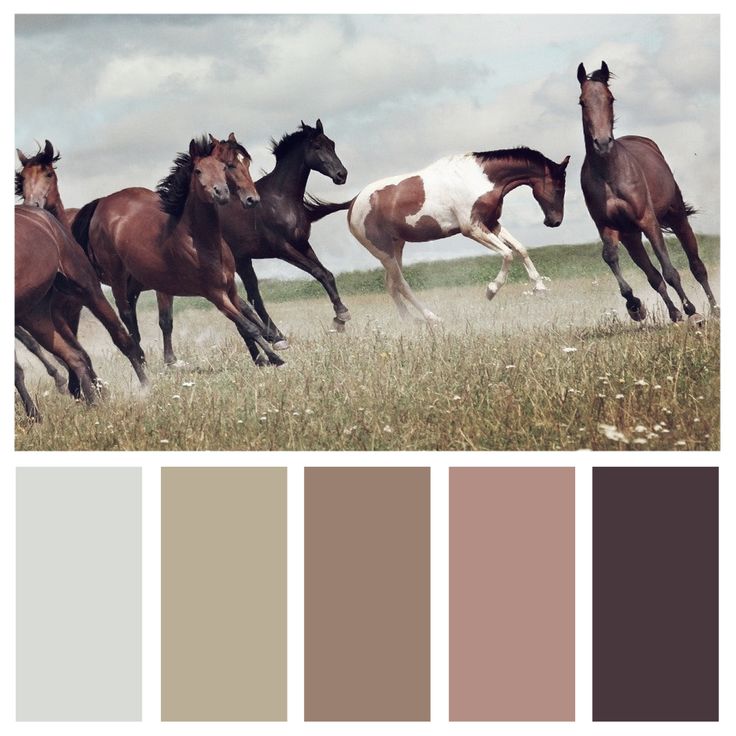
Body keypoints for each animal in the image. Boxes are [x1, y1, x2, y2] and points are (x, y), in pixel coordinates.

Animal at [72, 133, 284, 368]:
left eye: (225, 167)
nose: (251, 199)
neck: (202, 242)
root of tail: (102, 205)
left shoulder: (230, 290)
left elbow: (246, 315)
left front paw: (267, 350)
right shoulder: (214, 294)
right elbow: (246, 325)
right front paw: (272, 355)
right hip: (117, 278)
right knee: (126, 314)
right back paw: (141, 359)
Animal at [304, 147, 568, 322]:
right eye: (558, 187)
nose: (554, 222)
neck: (479, 179)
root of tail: (353, 202)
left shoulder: (491, 224)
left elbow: (520, 249)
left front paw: (540, 288)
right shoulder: (472, 229)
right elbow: (507, 254)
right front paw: (491, 291)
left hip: (396, 247)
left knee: (391, 285)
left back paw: (410, 322)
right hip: (384, 252)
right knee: (401, 284)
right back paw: (431, 317)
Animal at [576, 59, 716, 320]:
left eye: (610, 98)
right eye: (582, 101)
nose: (602, 143)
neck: (609, 174)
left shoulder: (648, 220)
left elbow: (670, 270)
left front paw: (691, 310)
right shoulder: (608, 226)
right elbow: (611, 257)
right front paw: (635, 305)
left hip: (677, 217)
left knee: (696, 266)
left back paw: (713, 309)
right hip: (631, 237)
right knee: (653, 275)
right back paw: (673, 313)